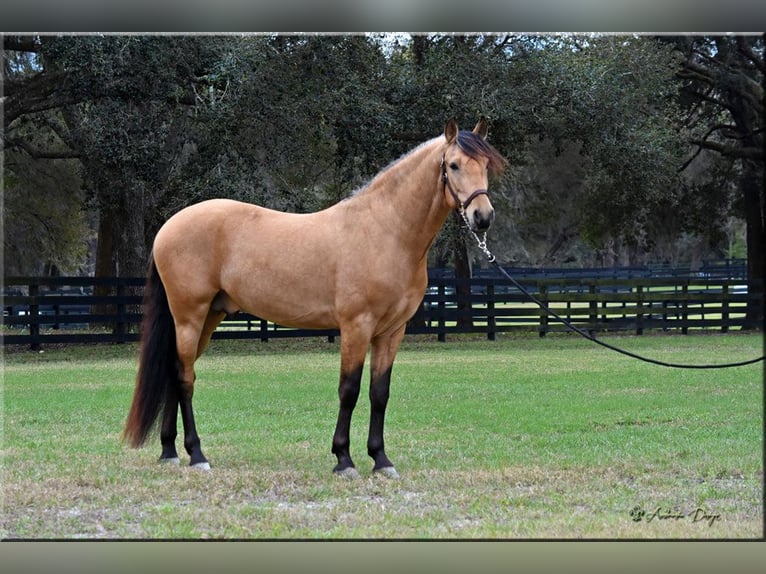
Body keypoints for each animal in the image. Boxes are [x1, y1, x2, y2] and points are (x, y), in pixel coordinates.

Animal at [123, 118, 508, 478]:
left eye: (485, 166)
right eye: (453, 165)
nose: (483, 217)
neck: (385, 231)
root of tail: (169, 226)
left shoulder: (391, 332)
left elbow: (379, 393)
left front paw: (381, 460)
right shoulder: (356, 326)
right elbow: (349, 390)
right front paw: (344, 459)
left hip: (206, 319)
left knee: (175, 372)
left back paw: (170, 451)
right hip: (189, 316)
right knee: (185, 379)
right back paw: (197, 455)